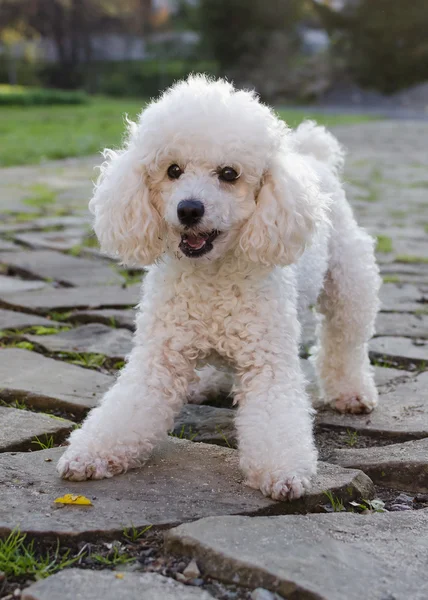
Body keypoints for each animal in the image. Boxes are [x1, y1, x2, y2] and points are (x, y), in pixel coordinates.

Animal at [56, 75, 378, 500]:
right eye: (173, 170)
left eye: (229, 174)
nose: (189, 209)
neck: (210, 276)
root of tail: (316, 158)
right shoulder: (158, 355)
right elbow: (128, 407)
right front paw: (91, 453)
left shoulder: (267, 359)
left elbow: (275, 416)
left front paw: (283, 471)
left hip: (350, 283)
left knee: (345, 343)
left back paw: (351, 393)